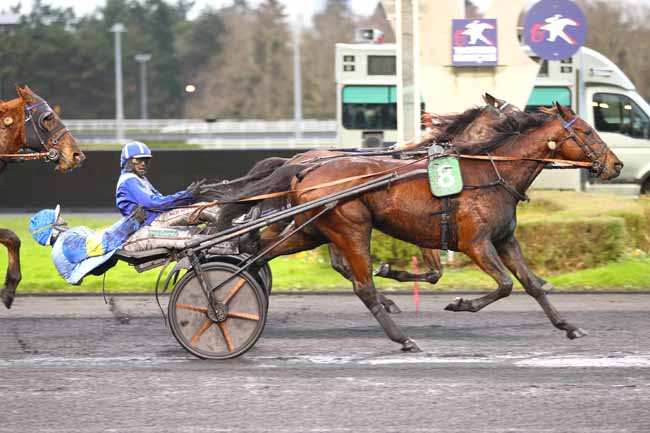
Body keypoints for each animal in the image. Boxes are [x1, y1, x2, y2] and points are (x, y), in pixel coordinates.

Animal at [235, 104, 620, 352]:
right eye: (586, 131)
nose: (615, 165)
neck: (490, 172)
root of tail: (304, 167)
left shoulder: (504, 239)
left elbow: (530, 285)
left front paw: (568, 325)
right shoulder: (475, 243)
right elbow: (505, 285)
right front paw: (460, 303)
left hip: (312, 229)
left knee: (259, 253)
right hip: (351, 228)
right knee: (361, 285)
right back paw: (401, 337)